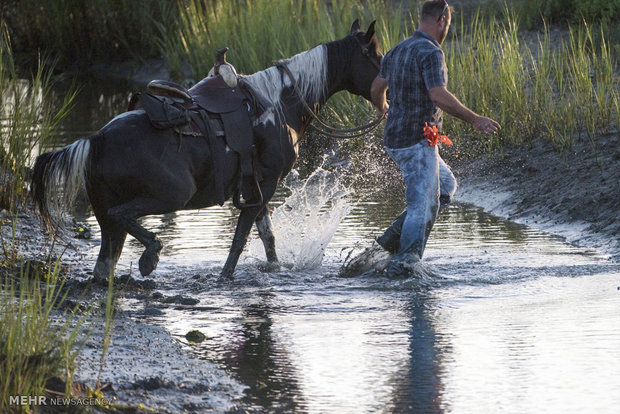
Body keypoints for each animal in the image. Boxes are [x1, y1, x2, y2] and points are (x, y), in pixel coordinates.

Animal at [34, 18, 382, 278]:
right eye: (376, 56)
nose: (388, 94)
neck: (282, 103)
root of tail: (95, 140)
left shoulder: (256, 188)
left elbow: (267, 238)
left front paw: (273, 269)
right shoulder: (266, 184)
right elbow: (240, 241)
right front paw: (225, 277)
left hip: (107, 223)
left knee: (105, 261)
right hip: (172, 194)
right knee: (123, 215)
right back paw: (150, 256)